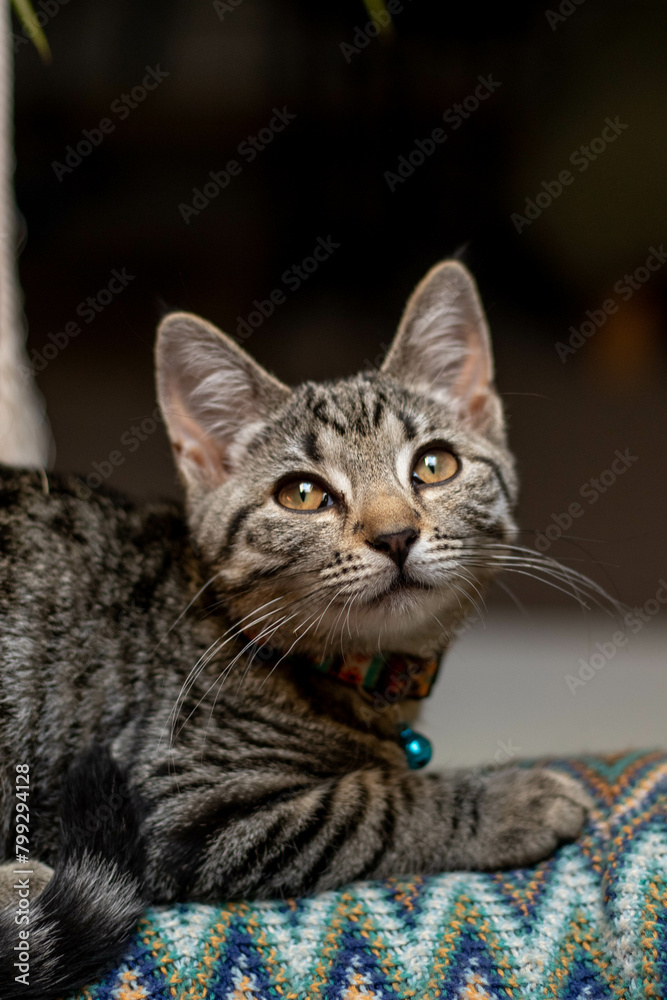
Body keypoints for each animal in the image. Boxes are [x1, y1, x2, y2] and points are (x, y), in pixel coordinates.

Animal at [0, 262, 588, 996]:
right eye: (303, 495)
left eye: (434, 465)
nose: (395, 535)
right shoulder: (176, 800)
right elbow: (375, 802)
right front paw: (512, 799)